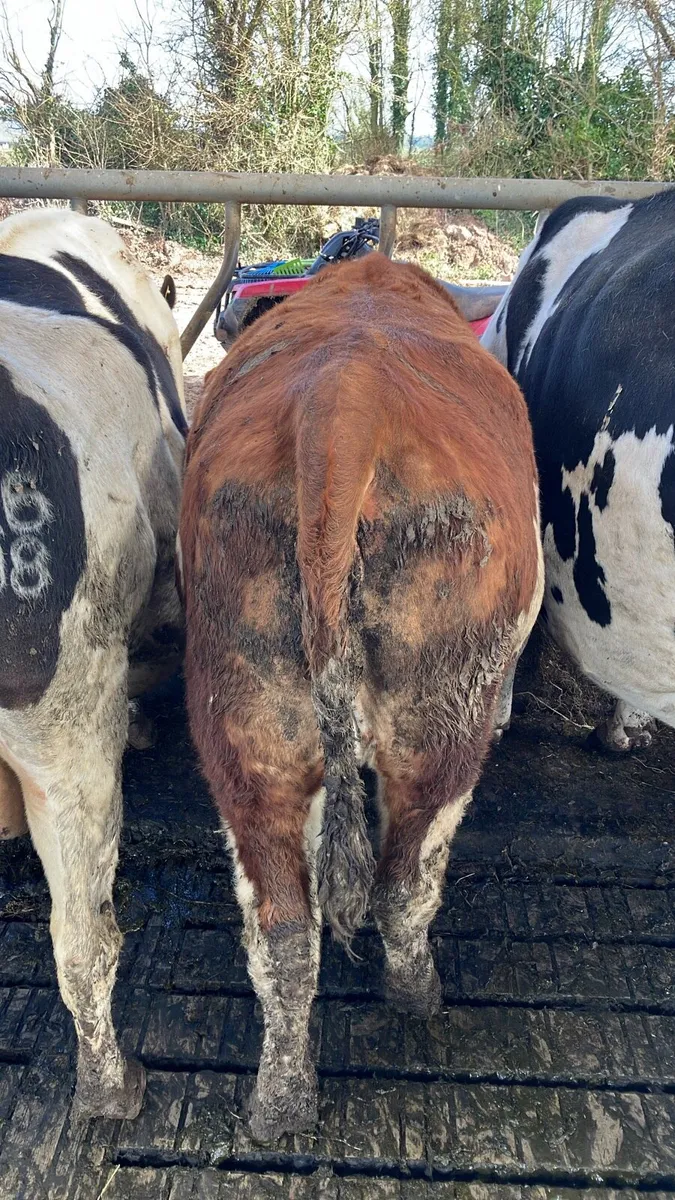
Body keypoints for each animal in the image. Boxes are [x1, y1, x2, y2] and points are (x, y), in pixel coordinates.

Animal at [180, 253, 543, 1142]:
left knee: (281, 926)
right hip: (441, 721)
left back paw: (279, 1102)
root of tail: (343, 405)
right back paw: (416, 998)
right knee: (402, 884)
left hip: (248, 726)